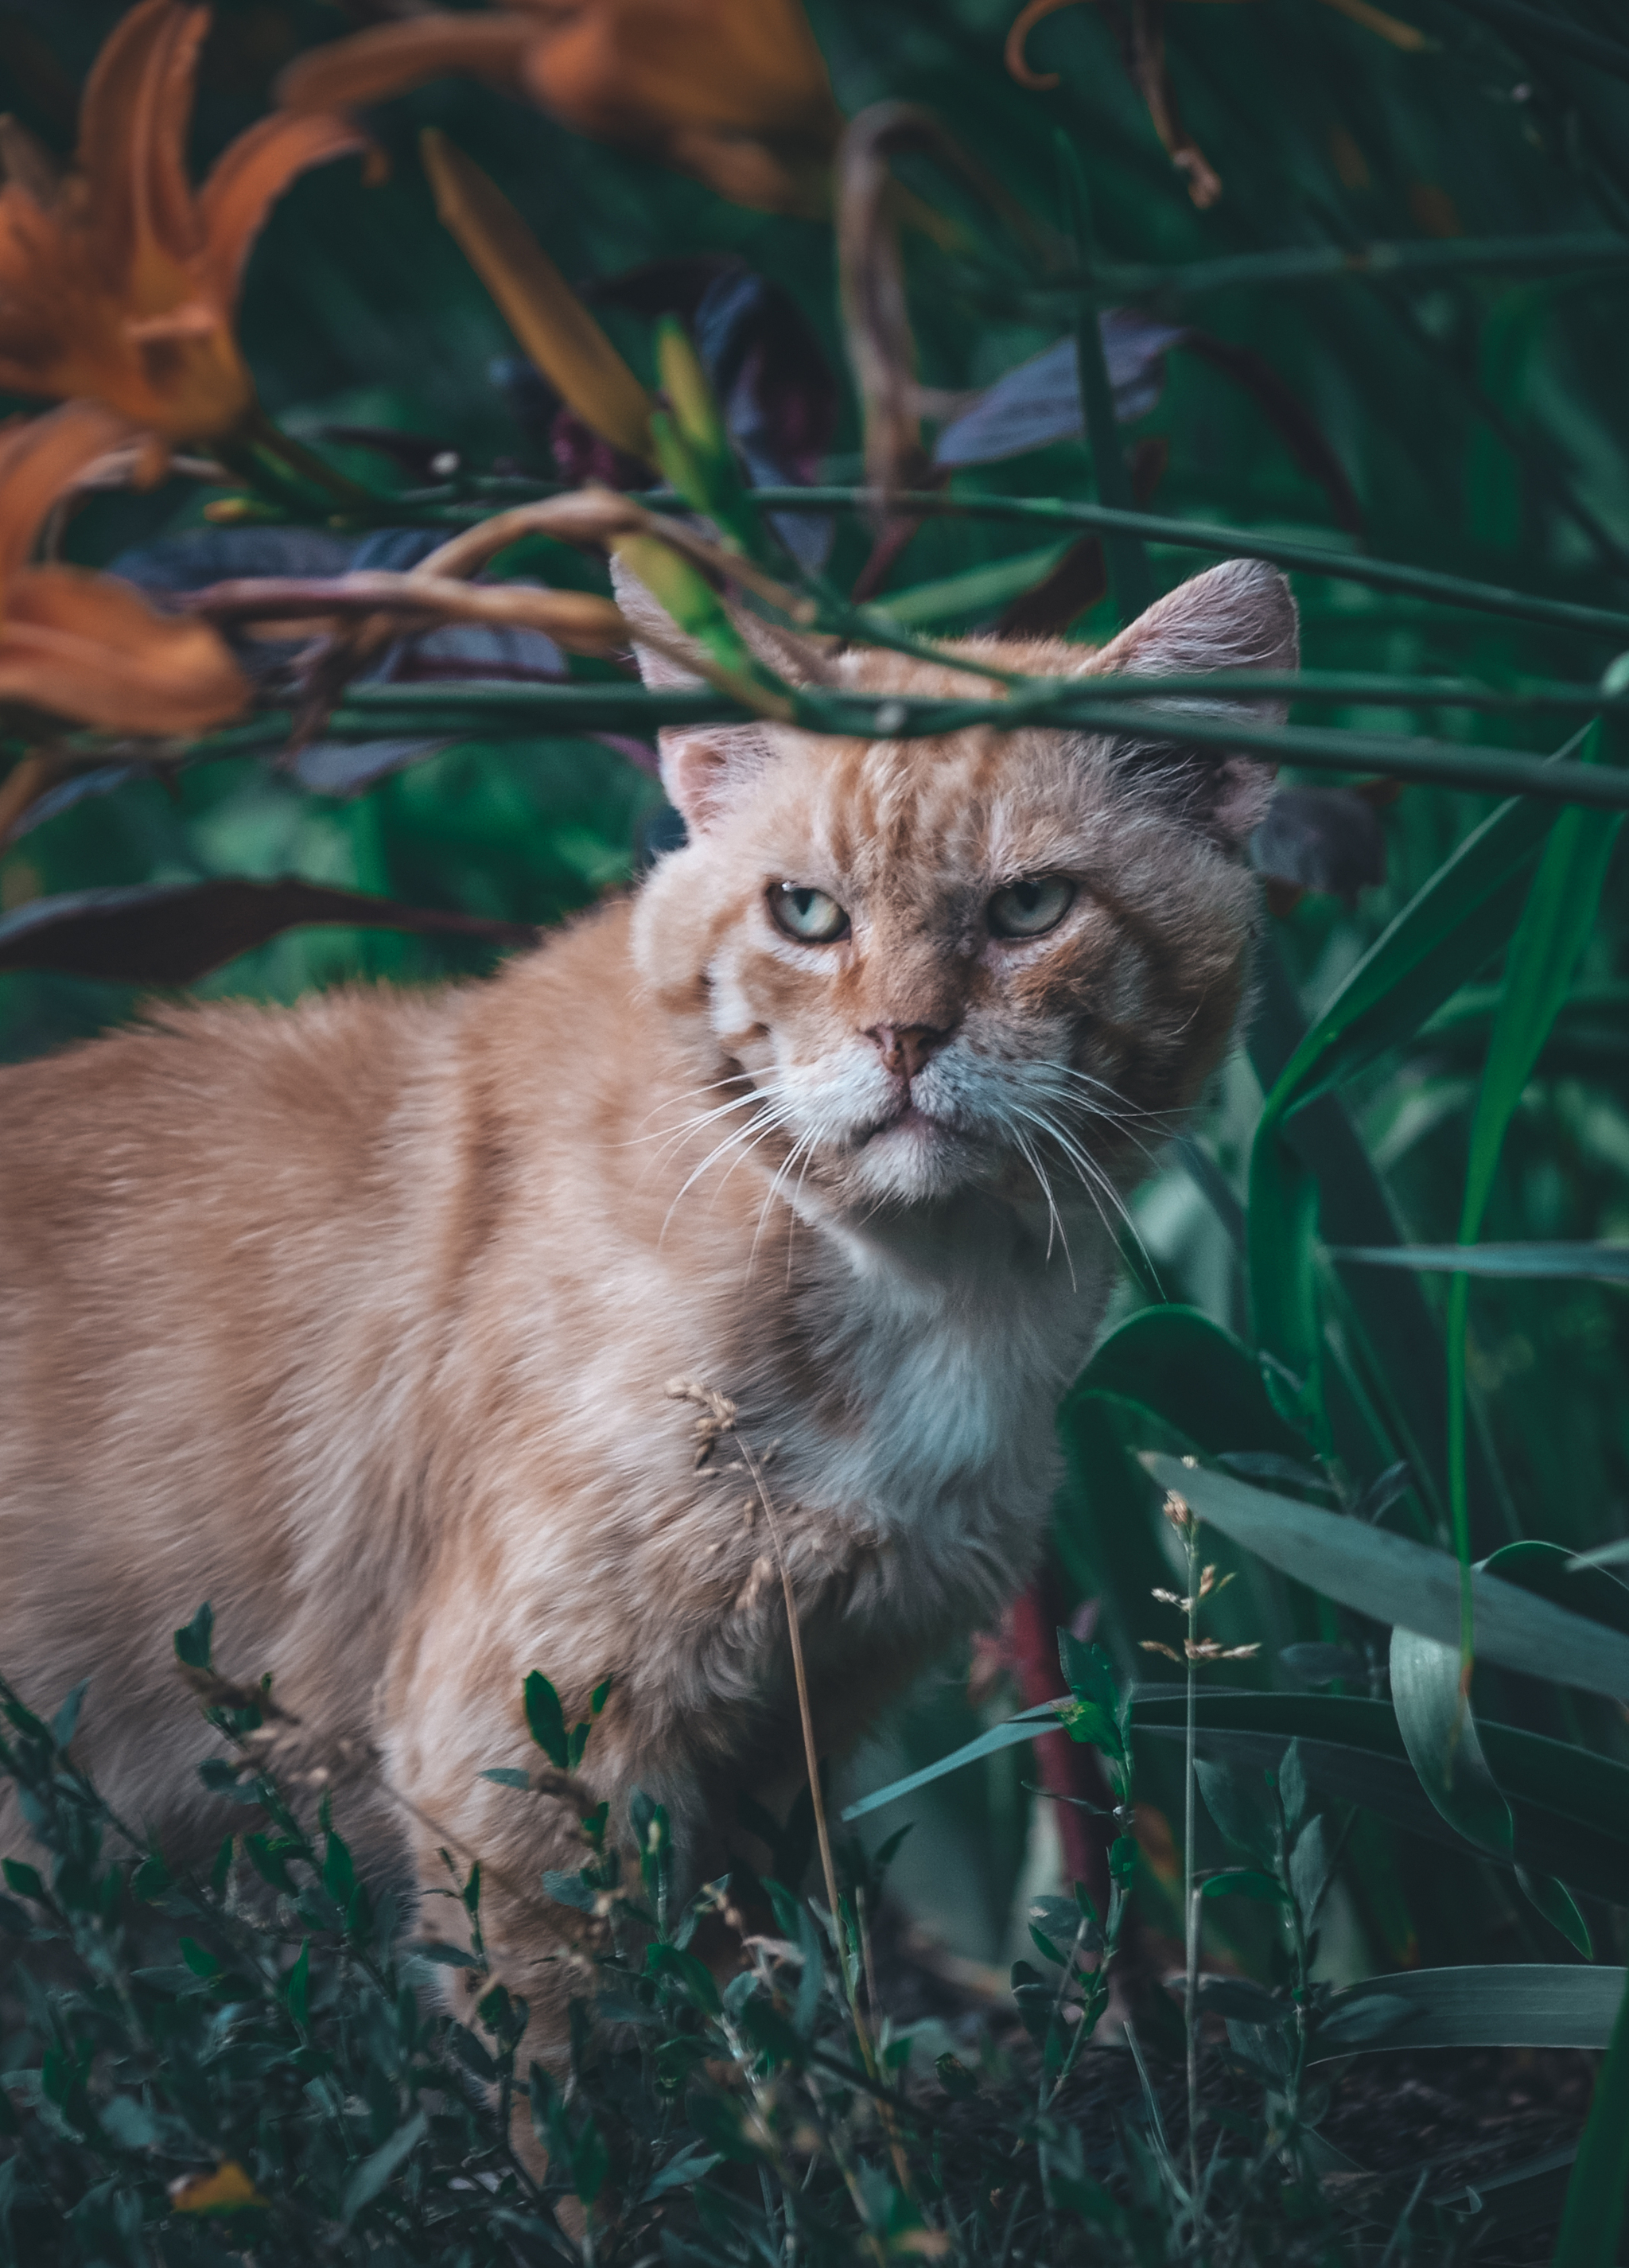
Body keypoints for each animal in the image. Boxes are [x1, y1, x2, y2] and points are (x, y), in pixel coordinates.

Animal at [0, 553, 1297, 2059]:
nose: (903, 1039)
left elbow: (769, 2033)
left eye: (1031, 908)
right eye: (806, 913)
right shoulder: (522, 1742)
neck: (929, 1287)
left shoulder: (785, 1740)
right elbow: (600, 2083)